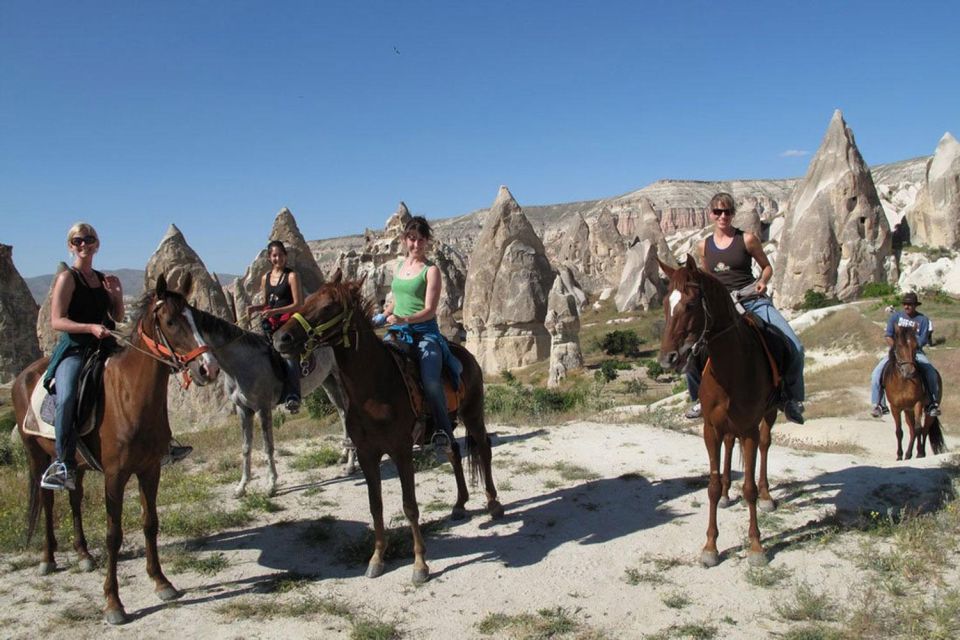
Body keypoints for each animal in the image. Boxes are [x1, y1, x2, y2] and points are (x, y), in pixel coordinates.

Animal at [11, 272, 221, 624]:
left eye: (195, 318)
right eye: (170, 321)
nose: (209, 369)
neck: (129, 397)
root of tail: (22, 376)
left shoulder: (150, 470)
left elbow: (150, 524)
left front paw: (162, 582)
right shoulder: (115, 475)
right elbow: (114, 534)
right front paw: (113, 603)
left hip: (74, 462)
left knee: (75, 499)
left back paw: (83, 554)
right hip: (36, 455)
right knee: (47, 501)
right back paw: (48, 559)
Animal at [189, 306, 358, 496]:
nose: (200, 374)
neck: (242, 362)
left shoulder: (262, 408)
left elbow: (267, 446)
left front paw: (271, 485)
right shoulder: (243, 409)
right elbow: (246, 447)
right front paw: (241, 487)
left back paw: (351, 464)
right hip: (329, 382)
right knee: (342, 414)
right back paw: (345, 454)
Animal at [270, 272, 502, 584]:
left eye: (329, 306)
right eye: (307, 300)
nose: (281, 338)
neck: (374, 389)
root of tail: (466, 355)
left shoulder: (401, 452)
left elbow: (410, 506)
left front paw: (420, 565)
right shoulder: (367, 455)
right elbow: (375, 506)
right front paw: (377, 558)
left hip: (473, 414)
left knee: (484, 450)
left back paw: (493, 504)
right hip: (448, 424)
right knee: (453, 451)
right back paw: (459, 504)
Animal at [656, 258, 776, 568]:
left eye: (690, 304)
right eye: (664, 303)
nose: (667, 359)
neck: (731, 366)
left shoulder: (748, 427)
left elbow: (749, 489)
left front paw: (756, 546)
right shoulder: (710, 428)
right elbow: (710, 485)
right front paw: (710, 546)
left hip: (769, 413)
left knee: (765, 445)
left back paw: (768, 495)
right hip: (727, 426)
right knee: (731, 447)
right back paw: (725, 493)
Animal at [884, 324, 944, 460]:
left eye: (916, 346)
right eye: (899, 346)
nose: (909, 371)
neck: (904, 381)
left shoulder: (918, 403)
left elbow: (918, 429)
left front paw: (920, 453)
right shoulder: (895, 408)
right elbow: (899, 431)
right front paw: (899, 456)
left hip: (927, 411)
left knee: (924, 429)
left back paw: (920, 452)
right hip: (907, 411)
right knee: (911, 430)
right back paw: (908, 454)